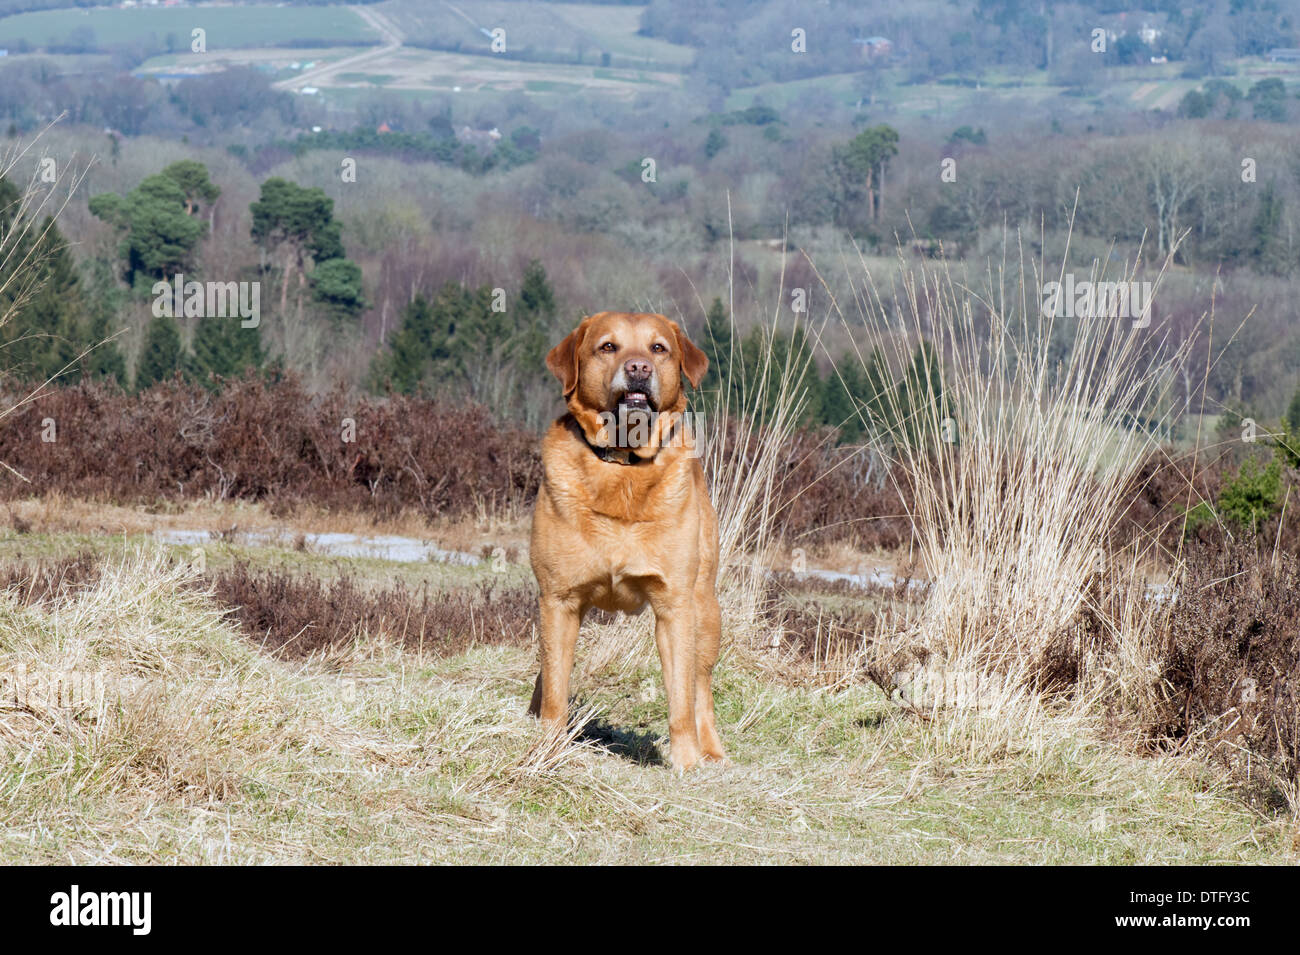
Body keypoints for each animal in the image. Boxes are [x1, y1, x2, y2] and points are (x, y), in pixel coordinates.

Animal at [527, 310, 728, 774]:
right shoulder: (558, 599)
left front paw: (686, 761)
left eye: (658, 348)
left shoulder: (675, 607)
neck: (623, 466)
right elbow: (556, 685)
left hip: (706, 610)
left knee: (701, 687)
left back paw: (711, 750)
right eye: (608, 346)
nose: (638, 368)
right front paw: (547, 748)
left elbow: (681, 698)